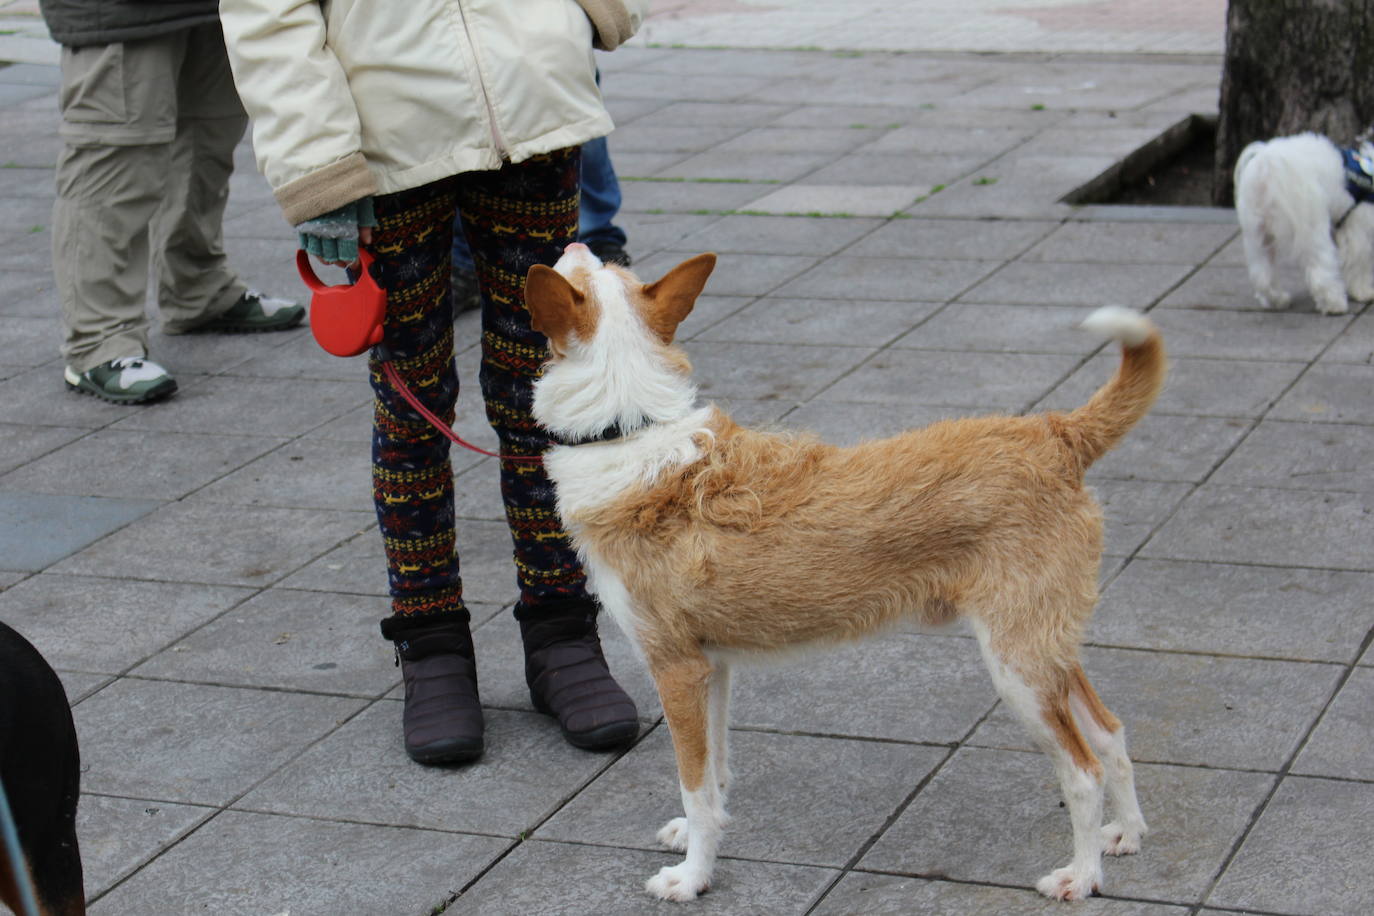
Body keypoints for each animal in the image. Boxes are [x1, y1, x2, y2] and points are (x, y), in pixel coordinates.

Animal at [519, 243, 1165, 900]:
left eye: (586, 271)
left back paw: (1082, 874)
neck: (630, 429)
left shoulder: (675, 668)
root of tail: (1054, 434)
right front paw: (706, 836)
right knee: (1109, 732)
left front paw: (694, 877)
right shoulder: (712, 666)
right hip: (1044, 645)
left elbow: (694, 784)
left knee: (1083, 769)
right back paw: (1126, 832)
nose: (574, 244)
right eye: (603, 269)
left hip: (1018, 668)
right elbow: (716, 768)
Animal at [1236, 129, 1374, 315]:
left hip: (1257, 234)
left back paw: (1278, 300)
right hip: (1313, 227)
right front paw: (1363, 292)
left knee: (1262, 275)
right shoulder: (1359, 226)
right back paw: (1334, 304)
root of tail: (1267, 166)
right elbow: (1360, 261)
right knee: (1320, 271)